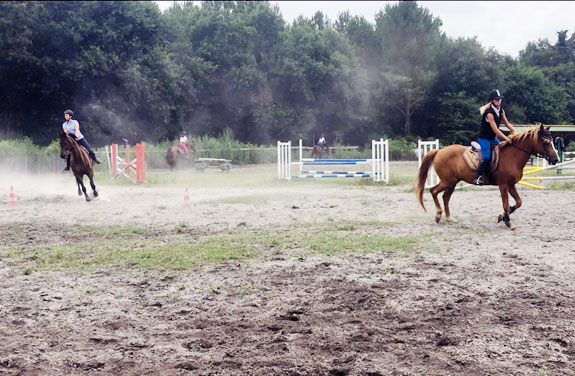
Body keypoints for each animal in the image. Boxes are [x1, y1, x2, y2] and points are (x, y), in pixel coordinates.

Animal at [416, 125, 560, 229]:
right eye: (546, 142)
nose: (556, 159)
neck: (512, 157)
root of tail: (439, 151)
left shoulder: (511, 185)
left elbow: (518, 202)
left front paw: (502, 217)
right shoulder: (503, 185)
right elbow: (506, 204)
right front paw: (508, 222)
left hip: (453, 182)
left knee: (445, 197)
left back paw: (449, 218)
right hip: (447, 181)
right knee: (434, 191)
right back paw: (438, 215)